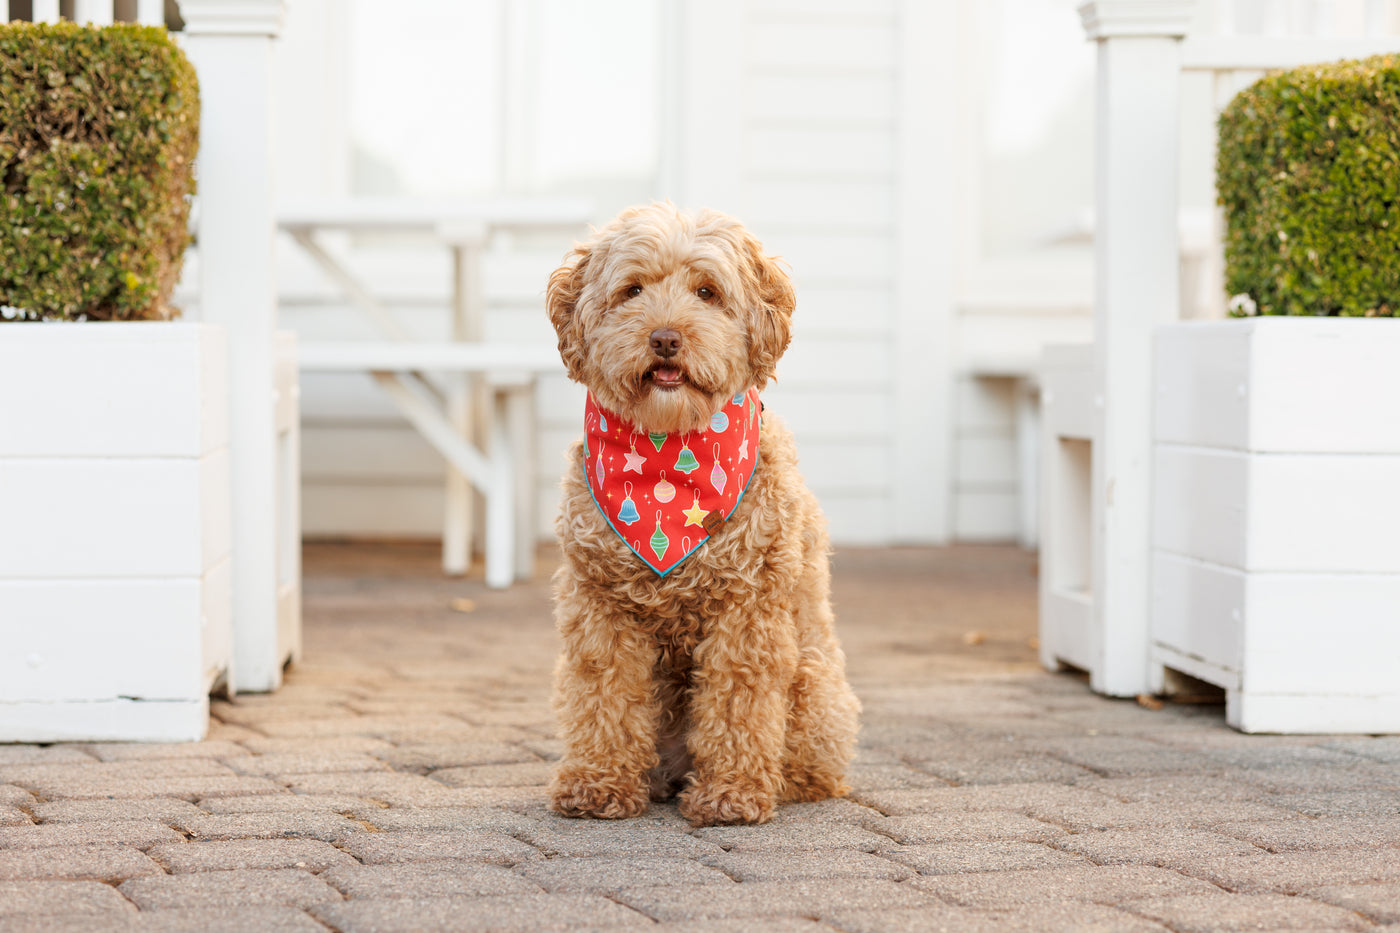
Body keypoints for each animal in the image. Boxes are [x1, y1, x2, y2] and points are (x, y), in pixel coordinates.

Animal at [540, 201, 856, 823]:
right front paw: (596, 782)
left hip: (812, 681)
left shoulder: (749, 605)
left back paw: (782, 781)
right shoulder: (599, 603)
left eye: (707, 292)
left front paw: (732, 792)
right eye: (632, 290)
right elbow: (603, 691)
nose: (665, 339)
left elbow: (739, 700)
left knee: (811, 761)